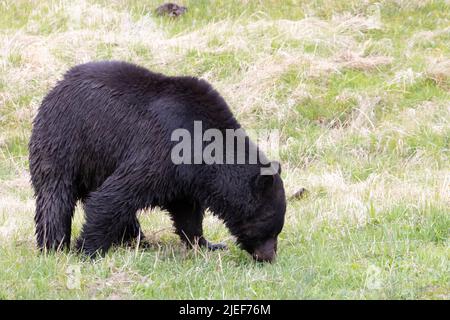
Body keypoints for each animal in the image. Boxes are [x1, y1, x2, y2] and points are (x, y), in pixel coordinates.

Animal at [29, 60, 286, 262]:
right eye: (269, 224)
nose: (268, 257)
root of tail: (56, 86)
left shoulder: (186, 179)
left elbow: (187, 214)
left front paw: (208, 244)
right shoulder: (162, 152)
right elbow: (111, 197)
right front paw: (87, 250)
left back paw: (138, 241)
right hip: (66, 143)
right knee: (55, 197)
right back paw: (53, 246)